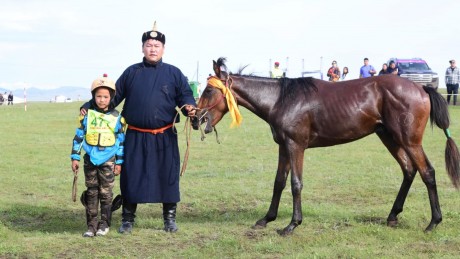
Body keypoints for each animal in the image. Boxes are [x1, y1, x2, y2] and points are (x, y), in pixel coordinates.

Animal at [191, 58, 460, 237]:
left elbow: (295, 184)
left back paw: (433, 222)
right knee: (408, 170)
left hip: (409, 141)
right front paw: (266, 219)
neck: (281, 99)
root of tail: (422, 87)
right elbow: (279, 182)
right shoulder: (283, 147)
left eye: (209, 90)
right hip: (390, 138)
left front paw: (291, 225)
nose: (195, 119)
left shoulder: (296, 146)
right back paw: (393, 216)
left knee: (427, 172)